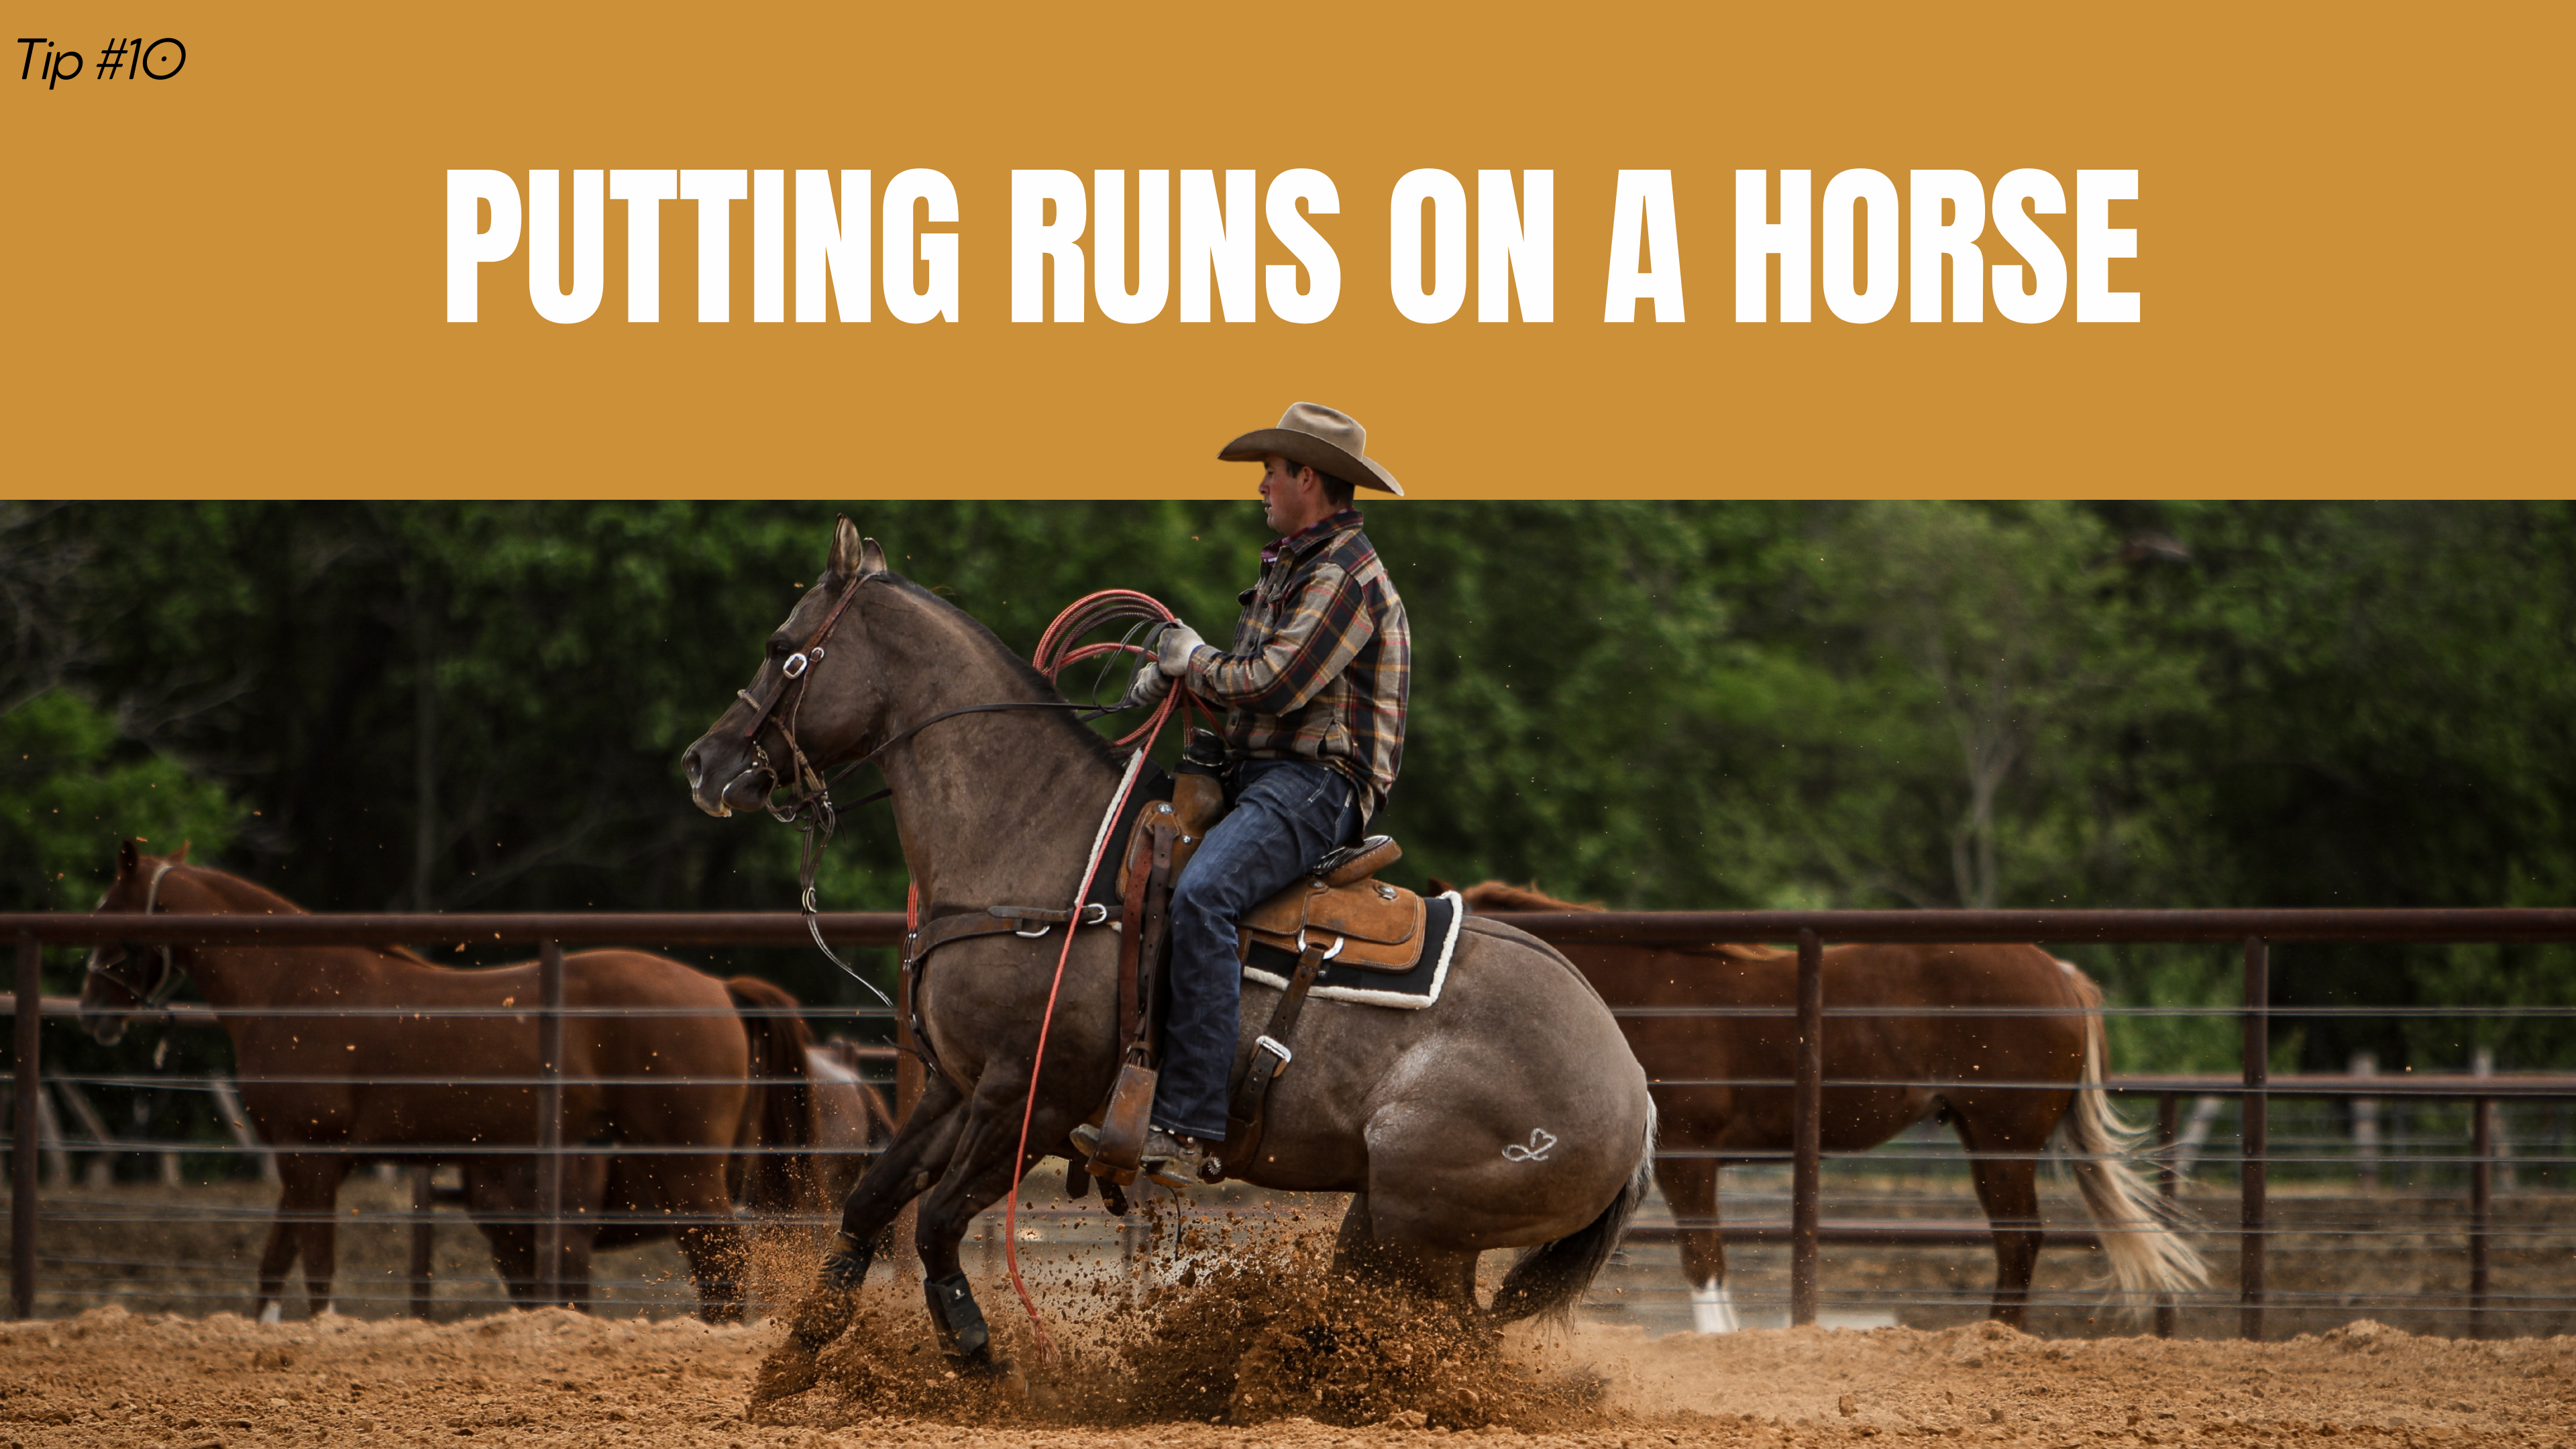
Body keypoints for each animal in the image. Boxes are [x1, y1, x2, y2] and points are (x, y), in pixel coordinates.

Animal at [78, 842, 812, 1323]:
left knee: (723, 1263)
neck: (294, 984)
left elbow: (316, 1268)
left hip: (685, 1168)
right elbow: (274, 1266)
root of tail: (720, 990)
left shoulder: (312, 1156)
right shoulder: (305, 1162)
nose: (92, 1010)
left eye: (111, 907)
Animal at [680, 518, 1655, 1401]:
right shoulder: (959, 1087)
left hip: (1418, 1220)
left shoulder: (1032, 1099)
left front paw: (981, 1354)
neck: (1042, 852)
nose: (702, 762)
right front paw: (793, 1360)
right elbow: (873, 1205)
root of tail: (1632, 1088)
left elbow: (937, 1225)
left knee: (1443, 1341)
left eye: (782, 647)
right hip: (1387, 1218)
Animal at [1437, 880, 2205, 1331]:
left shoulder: (1689, 1158)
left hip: (2001, 1140)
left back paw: (1997, 1335)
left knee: (2020, 1239)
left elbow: (1703, 1259)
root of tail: (2060, 973)